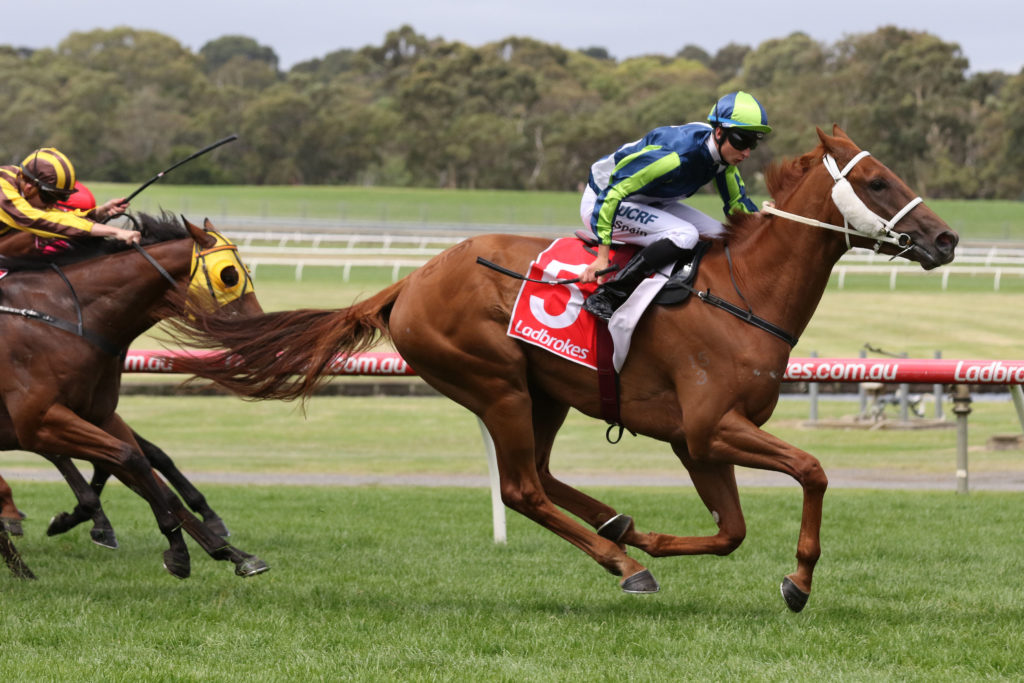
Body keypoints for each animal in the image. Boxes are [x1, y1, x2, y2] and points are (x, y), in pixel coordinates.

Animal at [0, 214, 268, 579]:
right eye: (229, 275)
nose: (262, 333)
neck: (66, 317)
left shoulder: (99, 416)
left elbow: (149, 471)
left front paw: (232, 552)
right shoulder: (39, 422)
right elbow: (131, 459)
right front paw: (178, 550)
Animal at [167, 127, 957, 611]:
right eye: (879, 182)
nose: (947, 239)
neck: (744, 292)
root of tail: (410, 282)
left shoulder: (695, 441)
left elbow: (732, 529)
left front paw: (655, 536)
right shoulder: (711, 428)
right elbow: (813, 471)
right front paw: (797, 579)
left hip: (545, 391)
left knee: (542, 477)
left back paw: (619, 526)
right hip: (495, 383)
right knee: (520, 487)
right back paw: (624, 562)